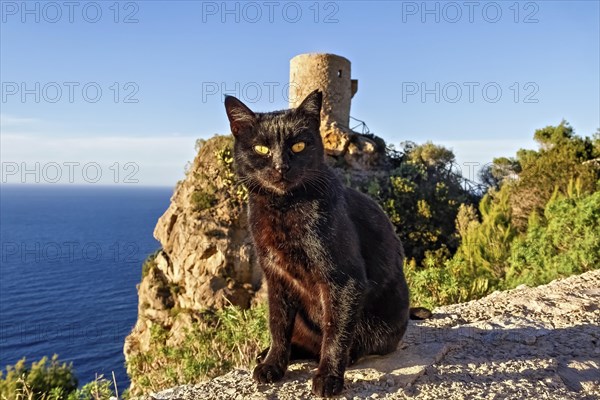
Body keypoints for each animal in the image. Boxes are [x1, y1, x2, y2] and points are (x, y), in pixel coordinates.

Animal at [225, 90, 426, 396]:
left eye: (298, 146)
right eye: (261, 149)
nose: (281, 167)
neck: (283, 208)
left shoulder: (344, 281)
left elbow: (335, 331)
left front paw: (329, 377)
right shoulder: (277, 277)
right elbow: (278, 325)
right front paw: (273, 364)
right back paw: (268, 355)